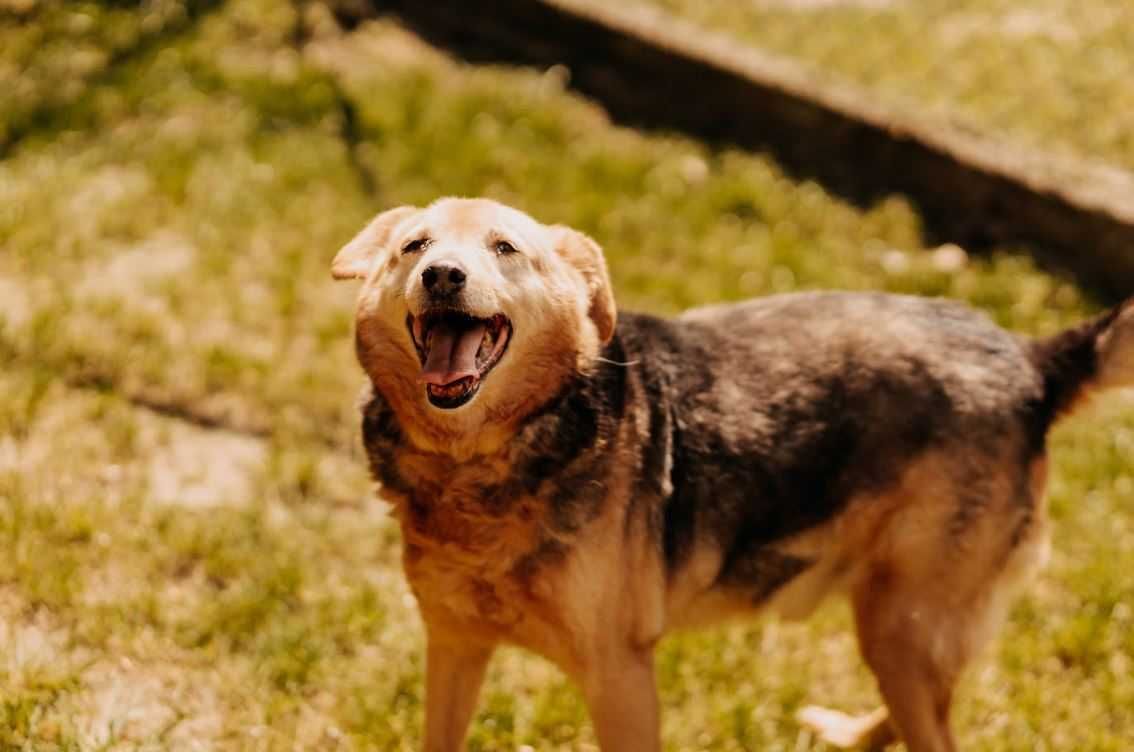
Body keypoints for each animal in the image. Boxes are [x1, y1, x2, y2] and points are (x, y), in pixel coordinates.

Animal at [331, 198, 1134, 752]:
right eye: (414, 245)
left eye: (505, 248)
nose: (443, 274)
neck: (476, 463)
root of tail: (1032, 360)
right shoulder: (454, 646)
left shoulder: (620, 677)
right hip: (901, 624)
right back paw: (848, 734)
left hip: (902, 620)